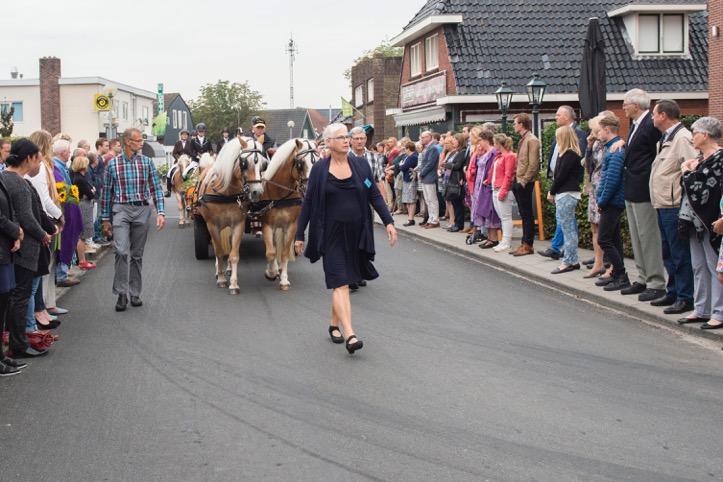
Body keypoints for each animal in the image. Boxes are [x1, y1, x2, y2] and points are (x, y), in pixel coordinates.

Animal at [198, 136, 266, 294]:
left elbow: (234, 254)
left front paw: (234, 284)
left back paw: (228, 269)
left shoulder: (238, 223)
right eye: (244, 163)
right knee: (217, 246)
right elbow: (218, 252)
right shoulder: (212, 225)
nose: (257, 192)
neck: (226, 192)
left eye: (264, 164)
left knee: (229, 243)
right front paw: (222, 279)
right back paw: (219, 271)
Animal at [258, 138, 318, 290]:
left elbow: (284, 253)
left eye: (318, 161)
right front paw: (271, 273)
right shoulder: (267, 225)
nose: (310, 189)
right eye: (300, 163)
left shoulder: (292, 226)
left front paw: (284, 280)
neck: (280, 194)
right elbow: (271, 252)